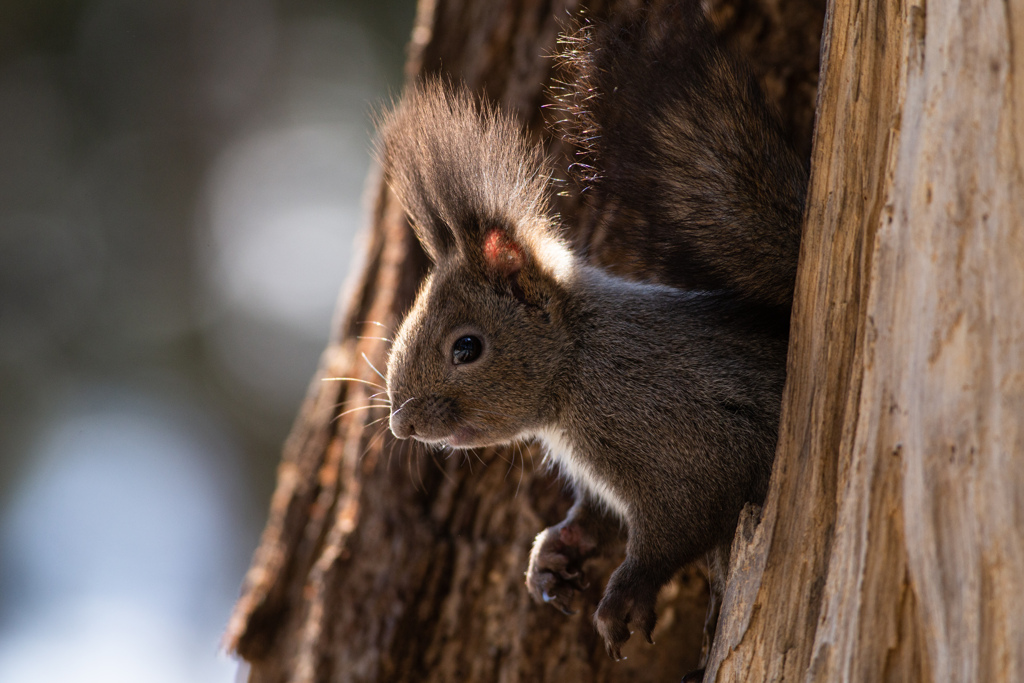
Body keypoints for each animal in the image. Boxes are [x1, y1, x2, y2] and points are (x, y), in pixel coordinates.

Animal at [376, 0, 806, 671]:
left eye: (467, 347)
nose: (402, 425)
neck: (578, 364)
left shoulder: (682, 436)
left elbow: (681, 521)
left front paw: (624, 596)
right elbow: (596, 516)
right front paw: (552, 554)